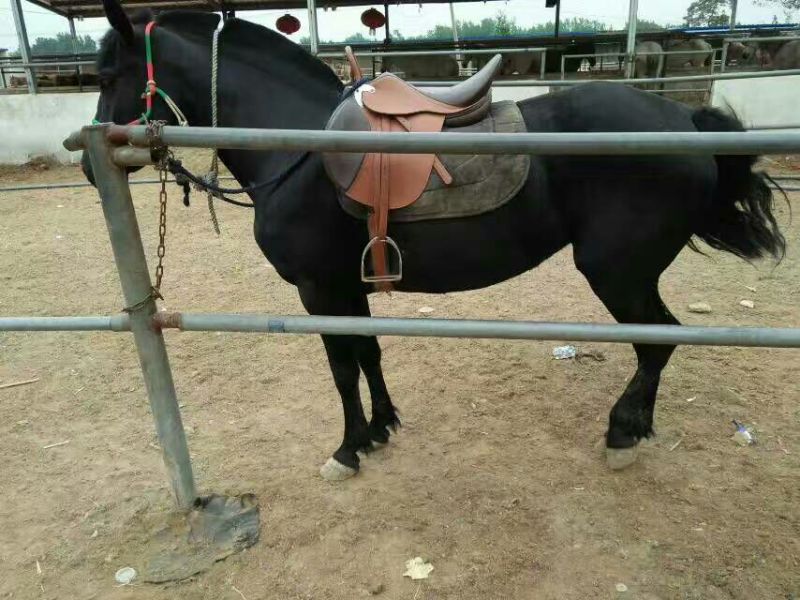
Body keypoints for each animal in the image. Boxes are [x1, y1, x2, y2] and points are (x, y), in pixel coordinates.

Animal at [82, 3, 785, 481]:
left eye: (109, 73)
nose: (92, 164)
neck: (297, 140)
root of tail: (682, 119)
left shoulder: (318, 288)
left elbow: (341, 369)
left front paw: (348, 448)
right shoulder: (349, 285)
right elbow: (368, 355)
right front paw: (381, 428)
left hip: (618, 272)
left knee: (657, 342)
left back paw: (621, 432)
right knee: (656, 343)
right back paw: (637, 427)